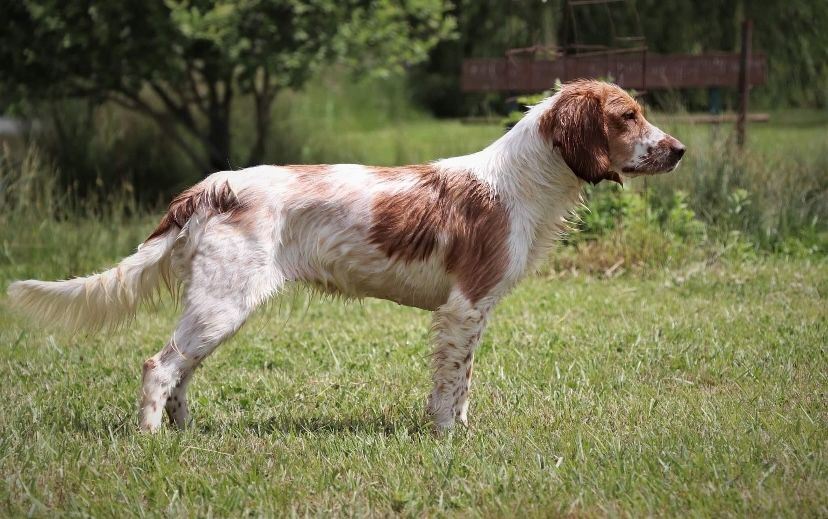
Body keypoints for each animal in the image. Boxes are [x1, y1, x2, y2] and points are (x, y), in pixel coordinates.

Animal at [7, 80, 685, 432]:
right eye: (628, 116)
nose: (678, 150)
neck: (519, 182)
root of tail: (212, 185)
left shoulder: (471, 312)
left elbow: (461, 385)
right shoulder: (465, 309)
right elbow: (454, 385)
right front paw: (449, 439)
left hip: (217, 308)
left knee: (181, 370)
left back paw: (185, 432)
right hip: (221, 303)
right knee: (158, 365)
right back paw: (150, 439)